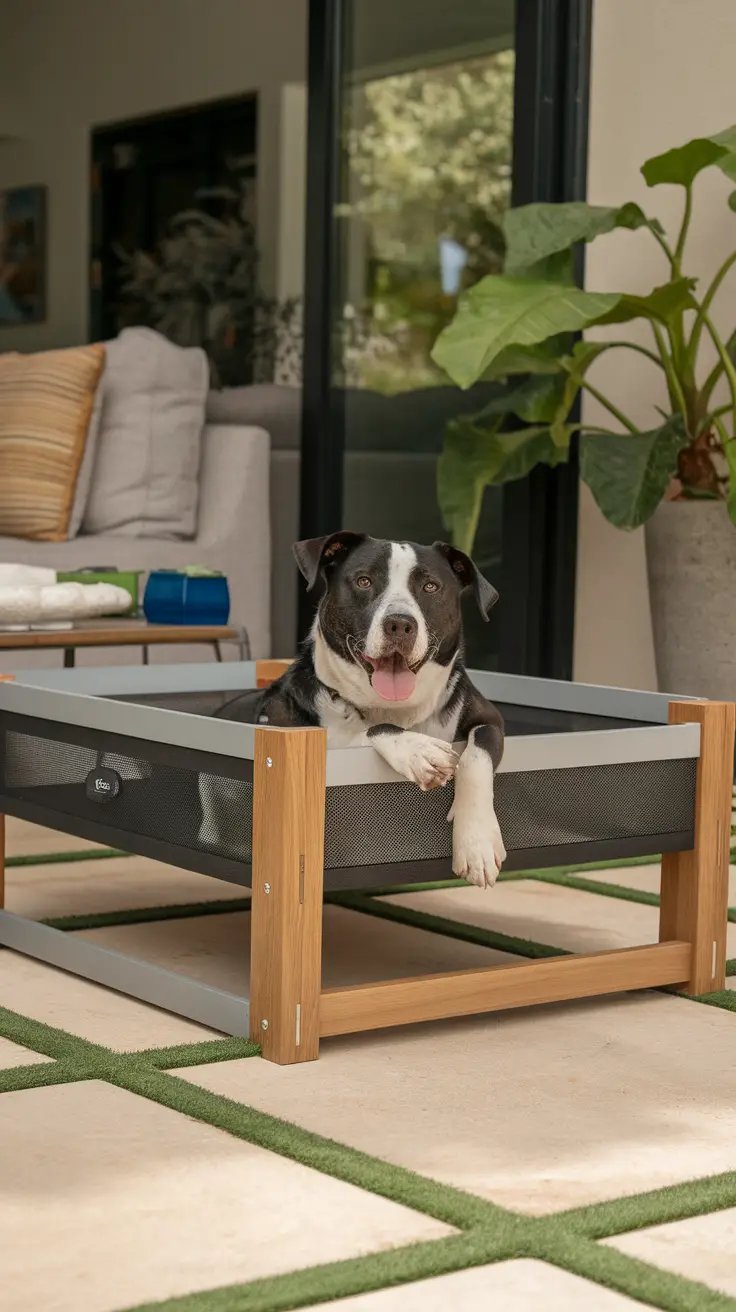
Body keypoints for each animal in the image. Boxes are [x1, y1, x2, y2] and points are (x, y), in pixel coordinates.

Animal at [216, 532, 503, 892]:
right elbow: (367, 731)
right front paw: (418, 751)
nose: (400, 624)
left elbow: (476, 755)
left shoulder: (490, 720)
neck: (394, 708)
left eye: (430, 587)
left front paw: (477, 843)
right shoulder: (295, 731)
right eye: (364, 581)